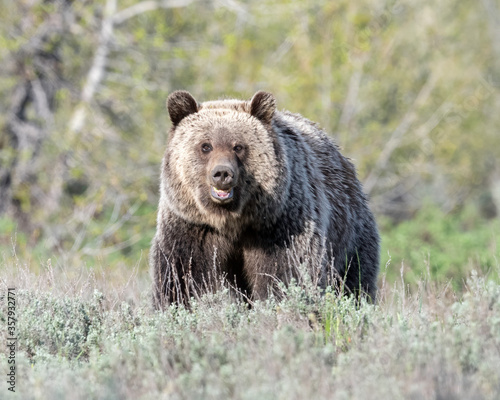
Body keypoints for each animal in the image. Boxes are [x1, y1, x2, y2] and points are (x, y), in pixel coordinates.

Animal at [150, 90, 376, 308]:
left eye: (238, 146)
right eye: (206, 146)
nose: (222, 173)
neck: (231, 220)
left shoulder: (279, 225)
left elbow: (285, 274)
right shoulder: (192, 227)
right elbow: (181, 278)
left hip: (350, 233)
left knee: (355, 278)